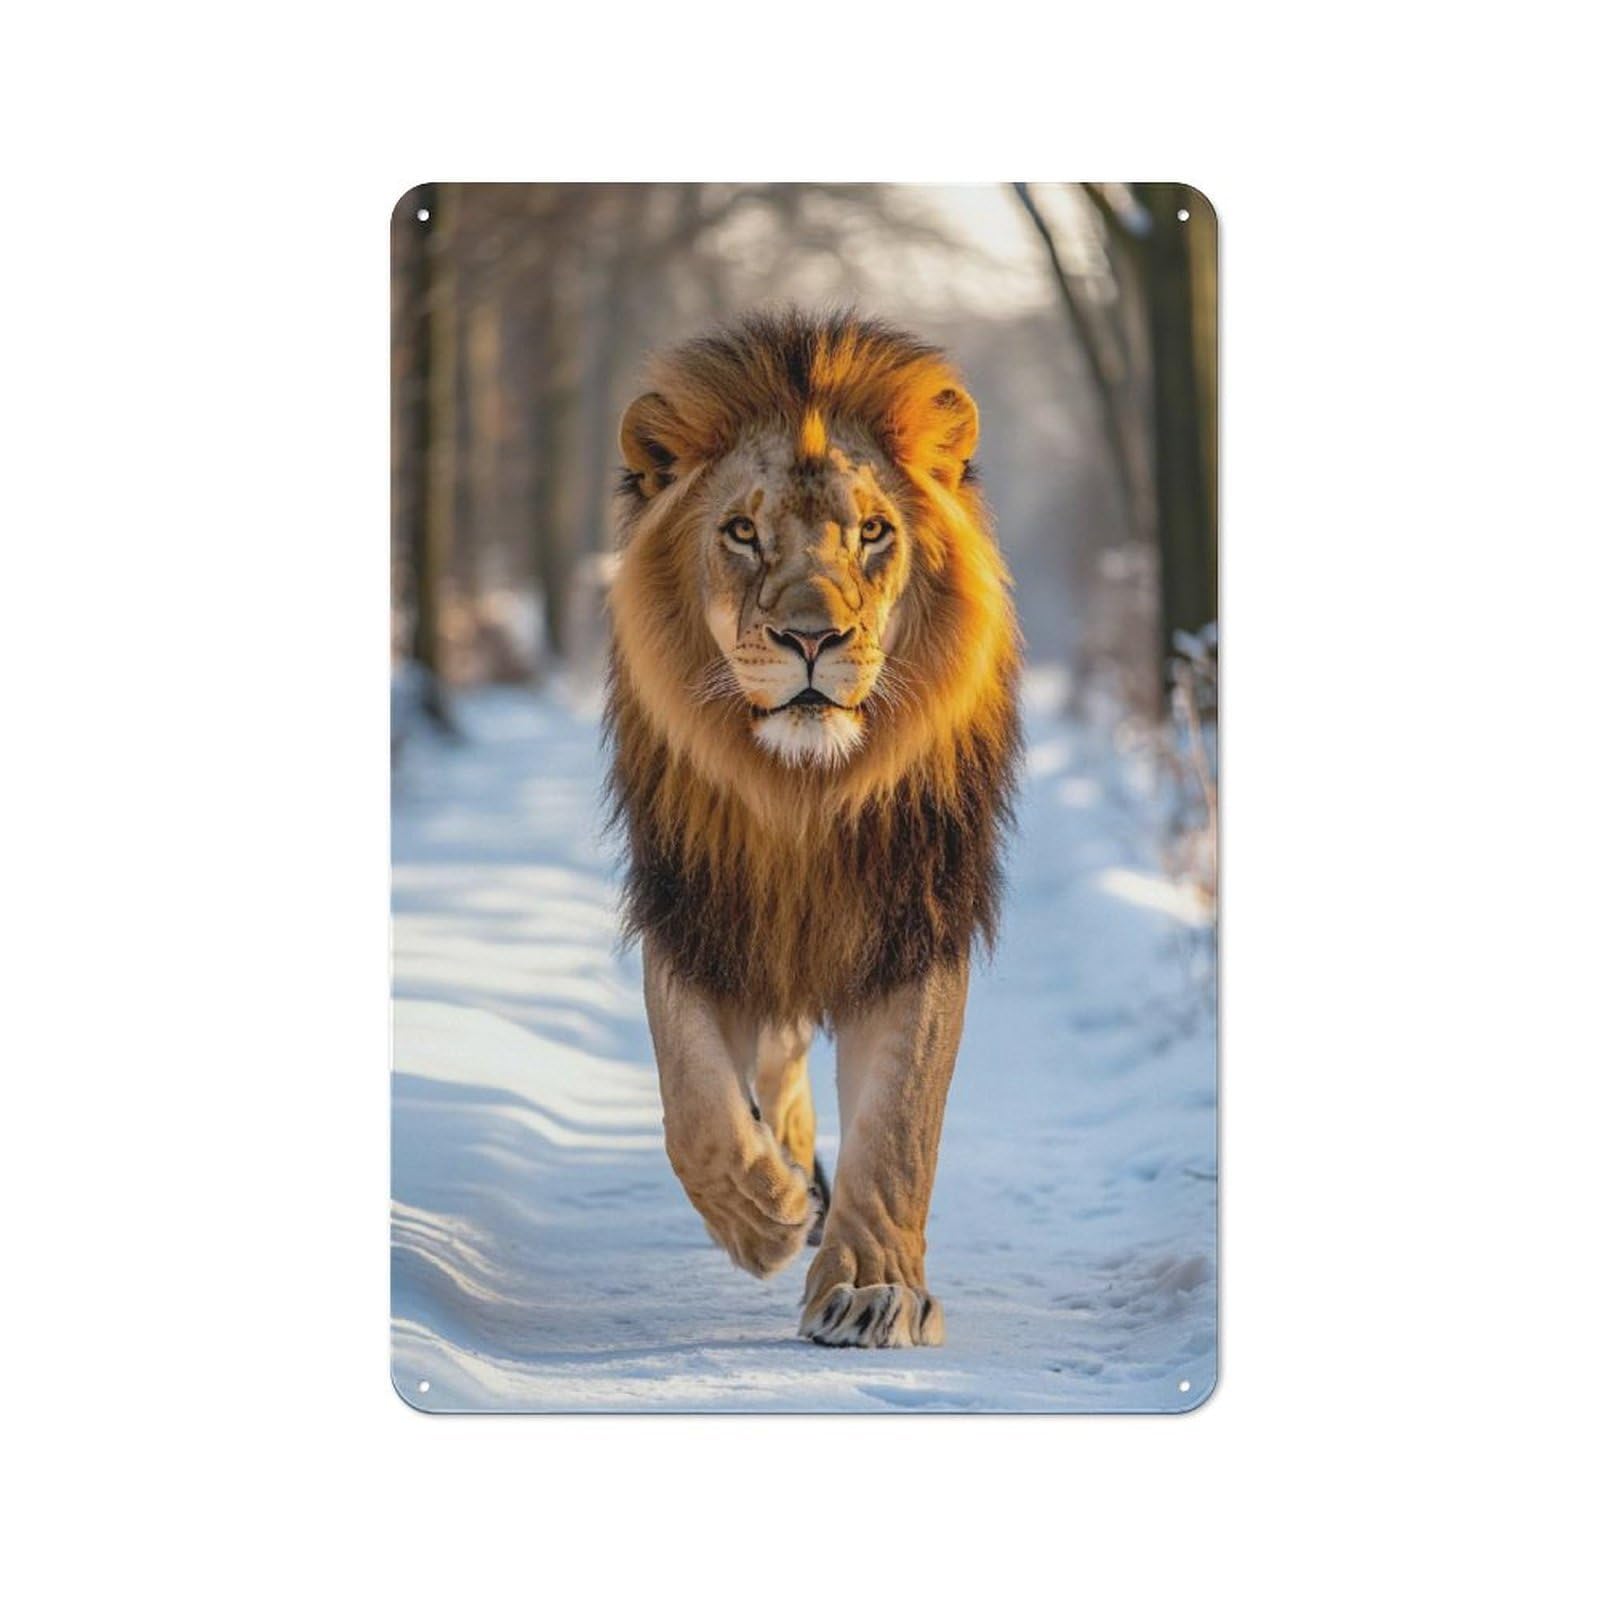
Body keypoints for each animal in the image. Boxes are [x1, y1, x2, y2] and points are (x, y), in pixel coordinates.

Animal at [606, 310, 1021, 1348]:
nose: (810, 638)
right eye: (741, 532)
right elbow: (693, 1100)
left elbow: (901, 1122)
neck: (804, 796)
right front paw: (764, 1212)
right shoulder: (693, 902)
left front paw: (871, 1287)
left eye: (873, 532)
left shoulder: (916, 916)